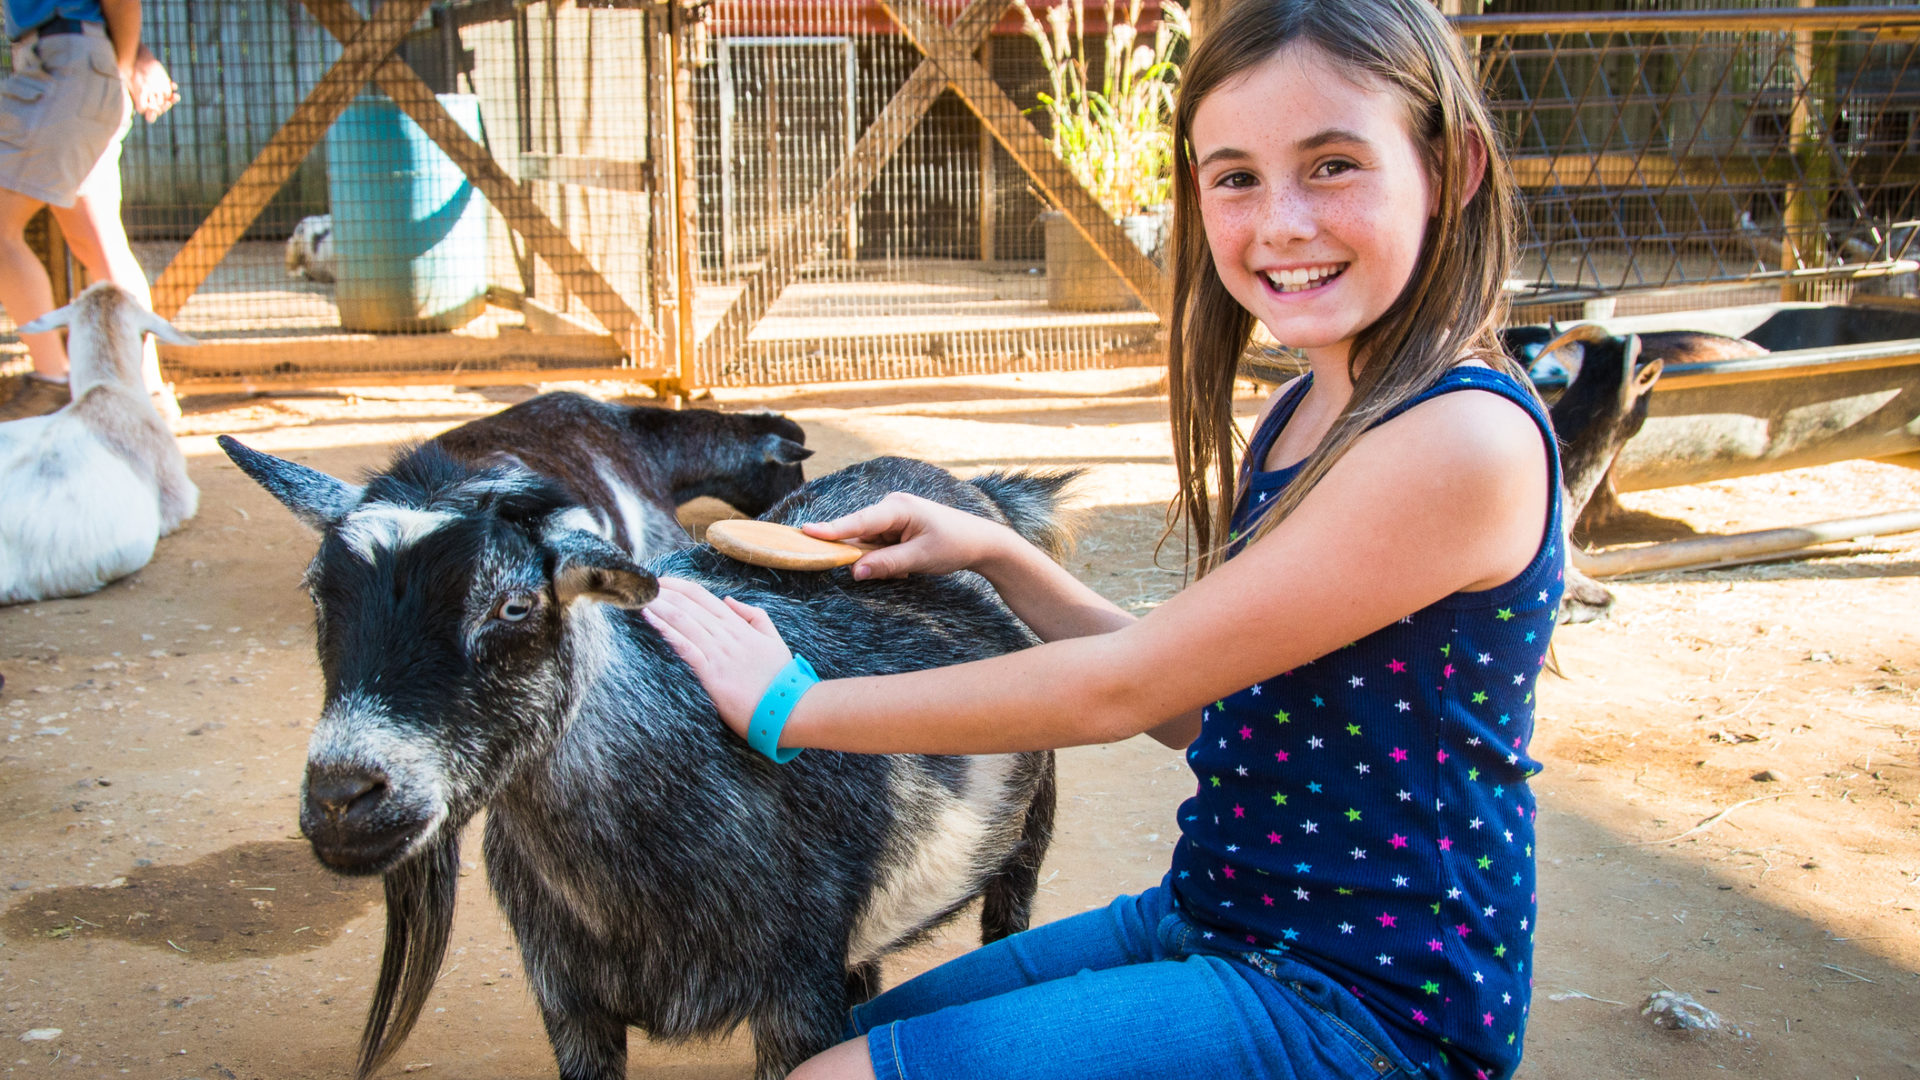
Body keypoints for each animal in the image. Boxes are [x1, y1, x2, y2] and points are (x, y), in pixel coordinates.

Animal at [226, 438, 1075, 1076]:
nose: (342, 797)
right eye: (318, 592)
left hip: (1028, 831)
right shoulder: (568, 1006)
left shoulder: (795, 998)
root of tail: (969, 488)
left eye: (515, 605)